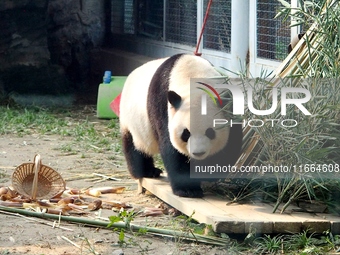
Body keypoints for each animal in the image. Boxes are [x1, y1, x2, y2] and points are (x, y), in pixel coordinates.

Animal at [119, 53, 242, 197]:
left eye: (210, 132)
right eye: (186, 133)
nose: (198, 153)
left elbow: (229, 144)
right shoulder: (163, 106)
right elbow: (172, 149)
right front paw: (188, 190)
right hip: (131, 121)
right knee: (135, 147)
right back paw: (147, 171)